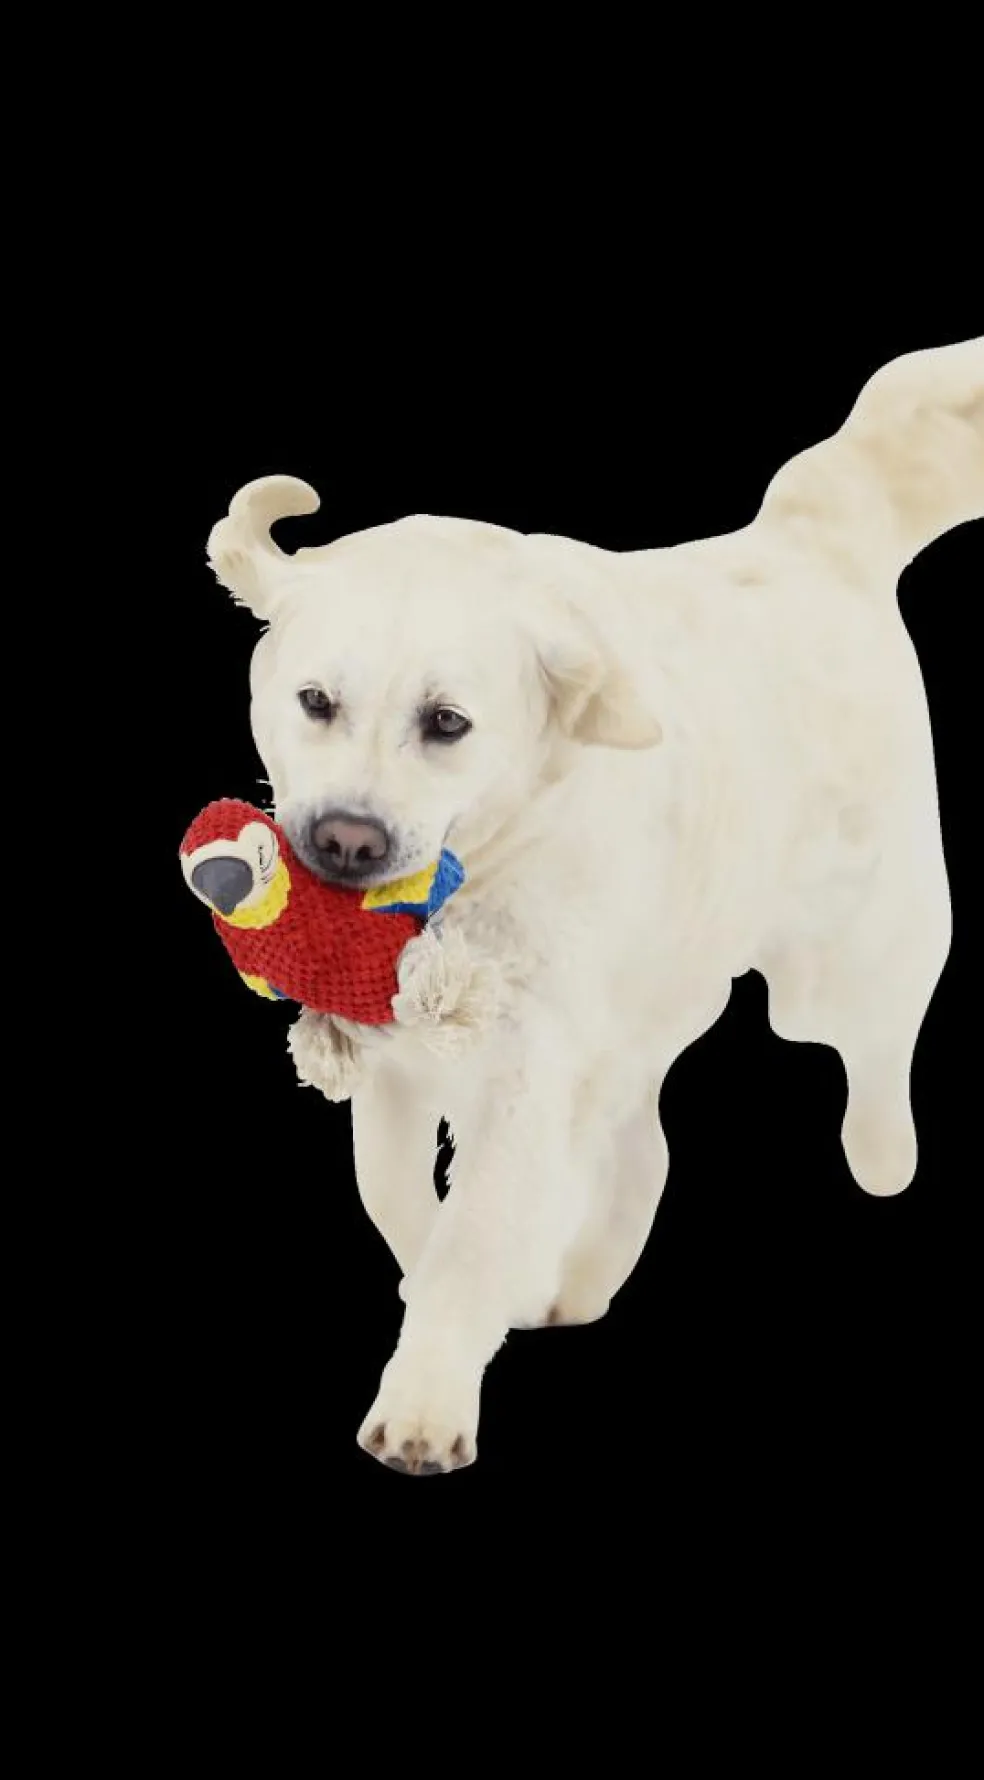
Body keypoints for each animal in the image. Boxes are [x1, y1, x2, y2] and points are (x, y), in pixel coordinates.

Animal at [205, 339, 983, 1475]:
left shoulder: (530, 1072)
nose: (347, 840)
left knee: (878, 1053)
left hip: (849, 963)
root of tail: (810, 538)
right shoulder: (397, 1070)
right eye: (314, 701)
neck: (482, 874)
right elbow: (400, 1201)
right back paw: (580, 1277)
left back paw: (883, 1160)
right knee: (643, 1153)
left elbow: (474, 1234)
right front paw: (456, 1281)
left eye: (447, 722)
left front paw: (425, 1404)